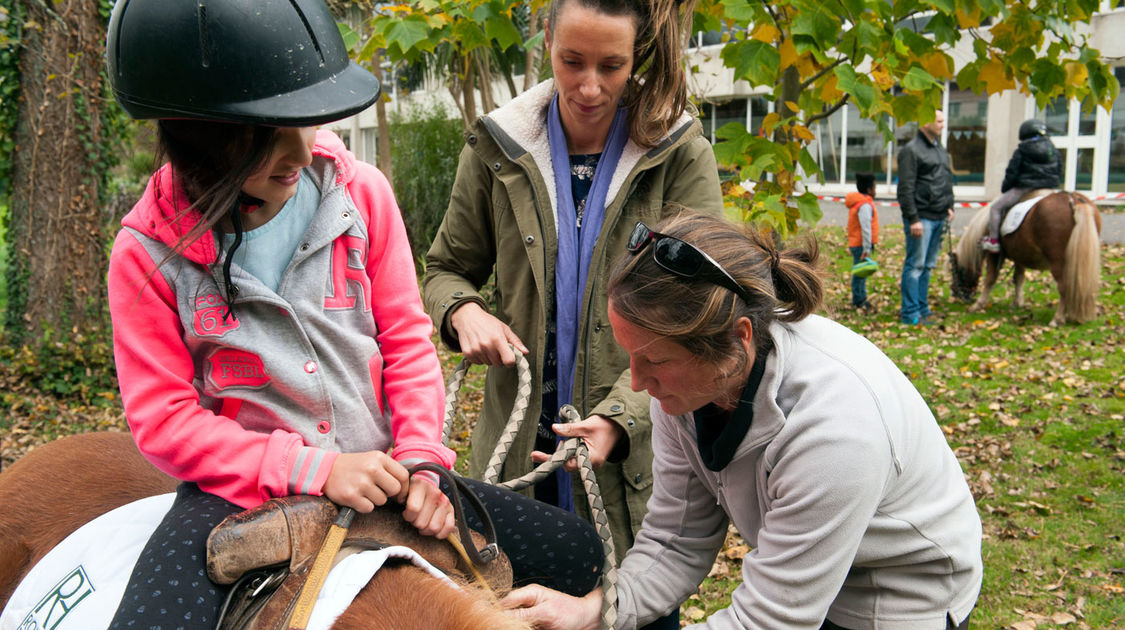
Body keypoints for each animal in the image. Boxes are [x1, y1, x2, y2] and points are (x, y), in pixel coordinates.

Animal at [949, 191, 1098, 326]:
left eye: (957, 272)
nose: (955, 294)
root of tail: (1074, 200)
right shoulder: (1020, 256)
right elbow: (1019, 278)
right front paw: (1017, 302)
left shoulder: (994, 255)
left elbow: (990, 279)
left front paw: (978, 305)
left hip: (1058, 263)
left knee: (1064, 288)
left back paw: (1057, 319)